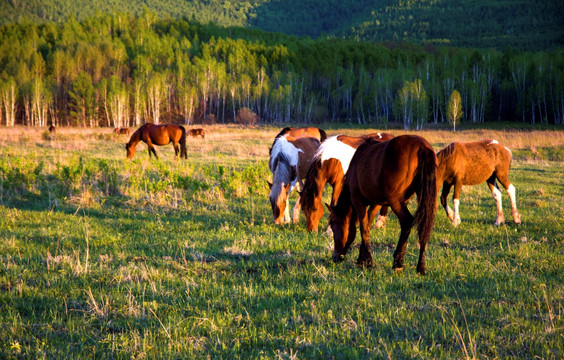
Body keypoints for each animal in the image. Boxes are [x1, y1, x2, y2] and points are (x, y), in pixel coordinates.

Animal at [328, 136, 438, 274]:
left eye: (333, 226)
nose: (335, 257)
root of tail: (422, 146)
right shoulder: (376, 204)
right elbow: (367, 225)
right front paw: (362, 259)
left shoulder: (357, 200)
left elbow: (363, 228)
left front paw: (368, 262)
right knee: (423, 227)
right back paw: (420, 266)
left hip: (395, 200)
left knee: (406, 221)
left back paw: (398, 262)